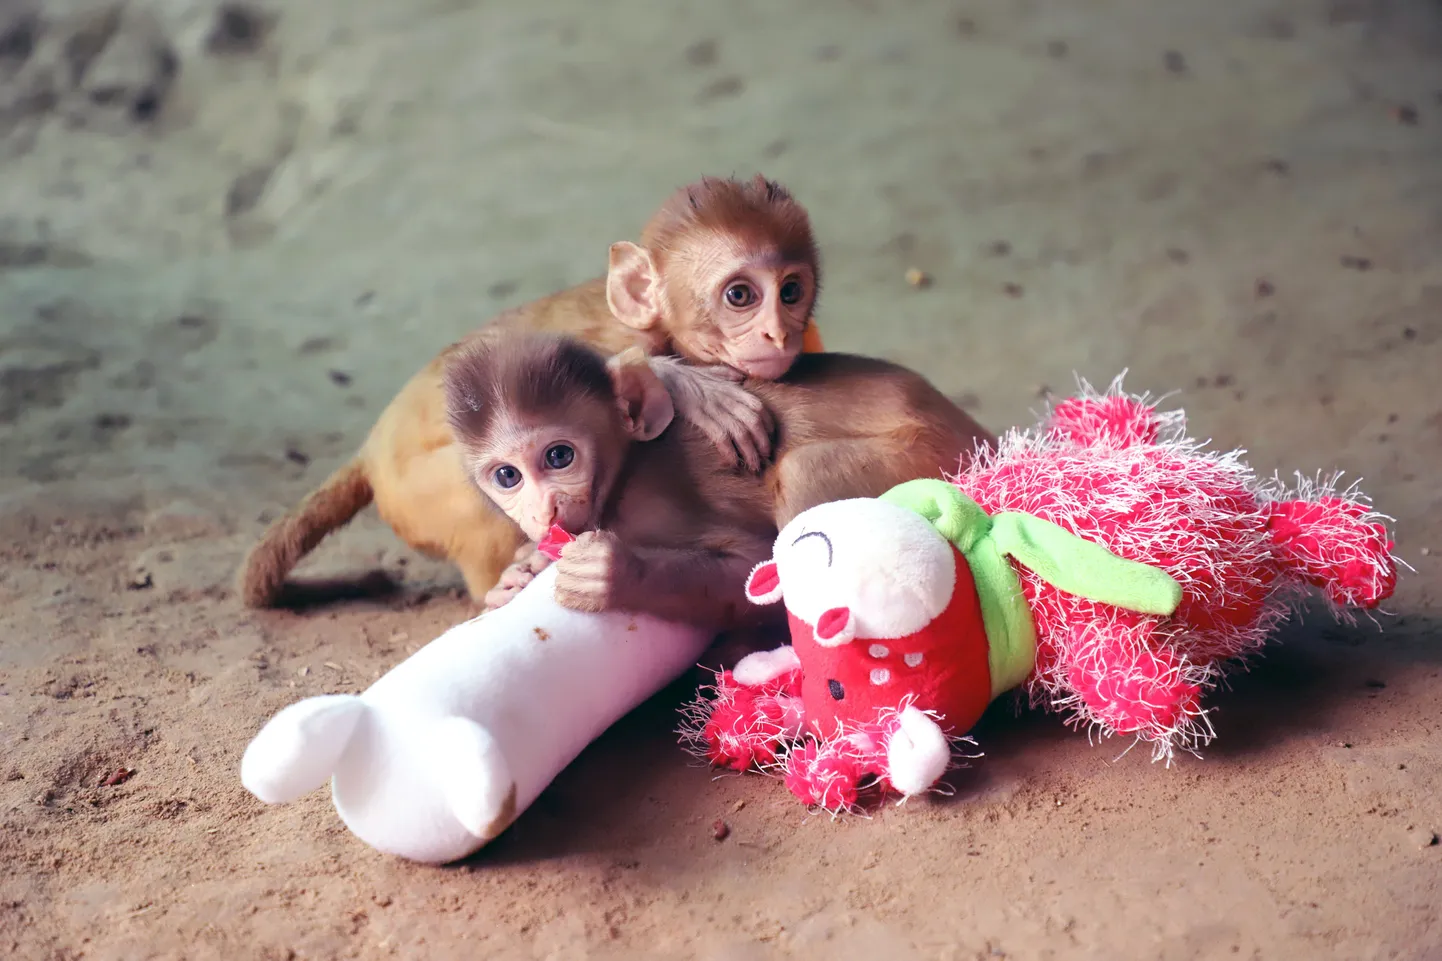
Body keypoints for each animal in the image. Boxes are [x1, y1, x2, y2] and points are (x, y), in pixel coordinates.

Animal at [236, 173, 824, 606]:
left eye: (790, 291)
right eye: (740, 295)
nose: (779, 332)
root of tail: (368, 450)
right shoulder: (625, 339)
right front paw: (691, 387)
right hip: (423, 491)